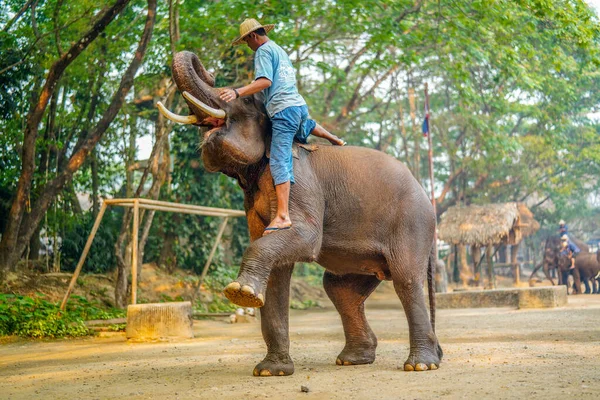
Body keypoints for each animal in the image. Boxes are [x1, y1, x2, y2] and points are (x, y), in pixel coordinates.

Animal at [157, 50, 442, 376]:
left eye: (245, 101)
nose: (211, 72)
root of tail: (427, 197)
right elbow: (276, 263)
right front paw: (270, 370)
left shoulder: (298, 179)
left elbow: (303, 238)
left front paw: (240, 293)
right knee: (338, 288)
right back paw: (353, 359)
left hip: (412, 223)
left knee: (405, 279)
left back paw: (420, 365)